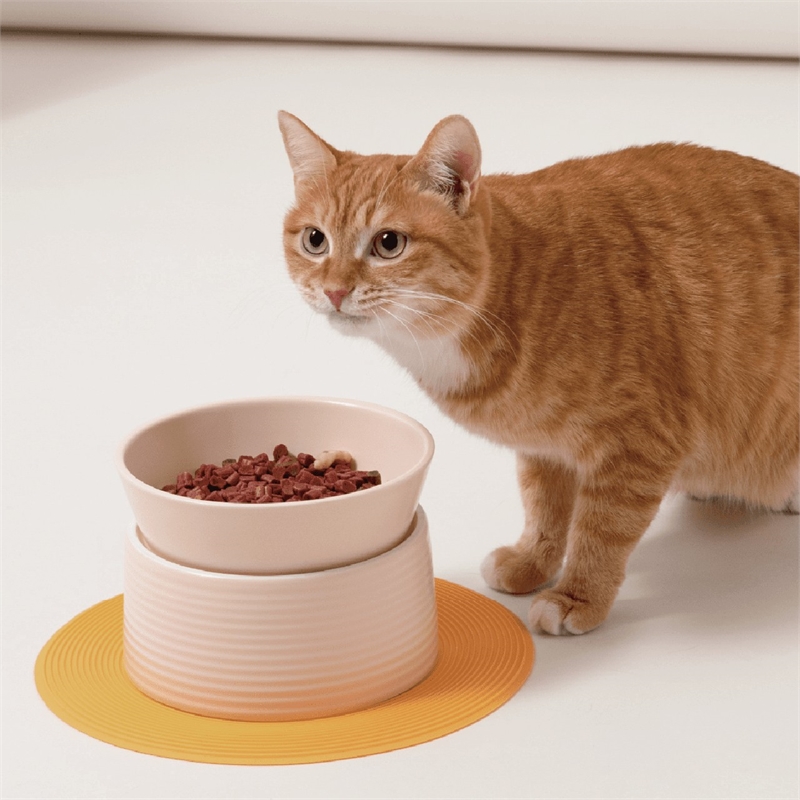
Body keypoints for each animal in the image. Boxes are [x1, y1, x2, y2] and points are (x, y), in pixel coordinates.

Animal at [278, 114, 796, 636]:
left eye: (389, 243)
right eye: (315, 240)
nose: (334, 291)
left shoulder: (641, 443)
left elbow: (602, 529)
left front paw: (578, 594)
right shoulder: (543, 446)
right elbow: (544, 507)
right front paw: (533, 561)